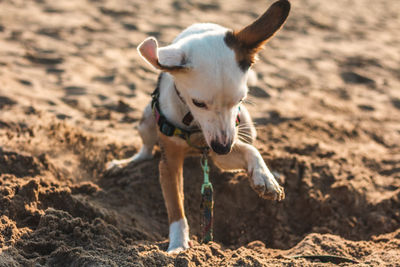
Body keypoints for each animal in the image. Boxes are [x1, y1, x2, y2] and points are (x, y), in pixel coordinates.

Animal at [108, 0, 290, 254]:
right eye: (198, 103)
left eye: (241, 99)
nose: (222, 147)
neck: (192, 123)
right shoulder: (170, 162)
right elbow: (176, 207)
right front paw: (178, 245)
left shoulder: (222, 146)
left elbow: (250, 151)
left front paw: (265, 178)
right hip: (146, 120)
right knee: (145, 150)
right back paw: (125, 163)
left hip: (246, 127)